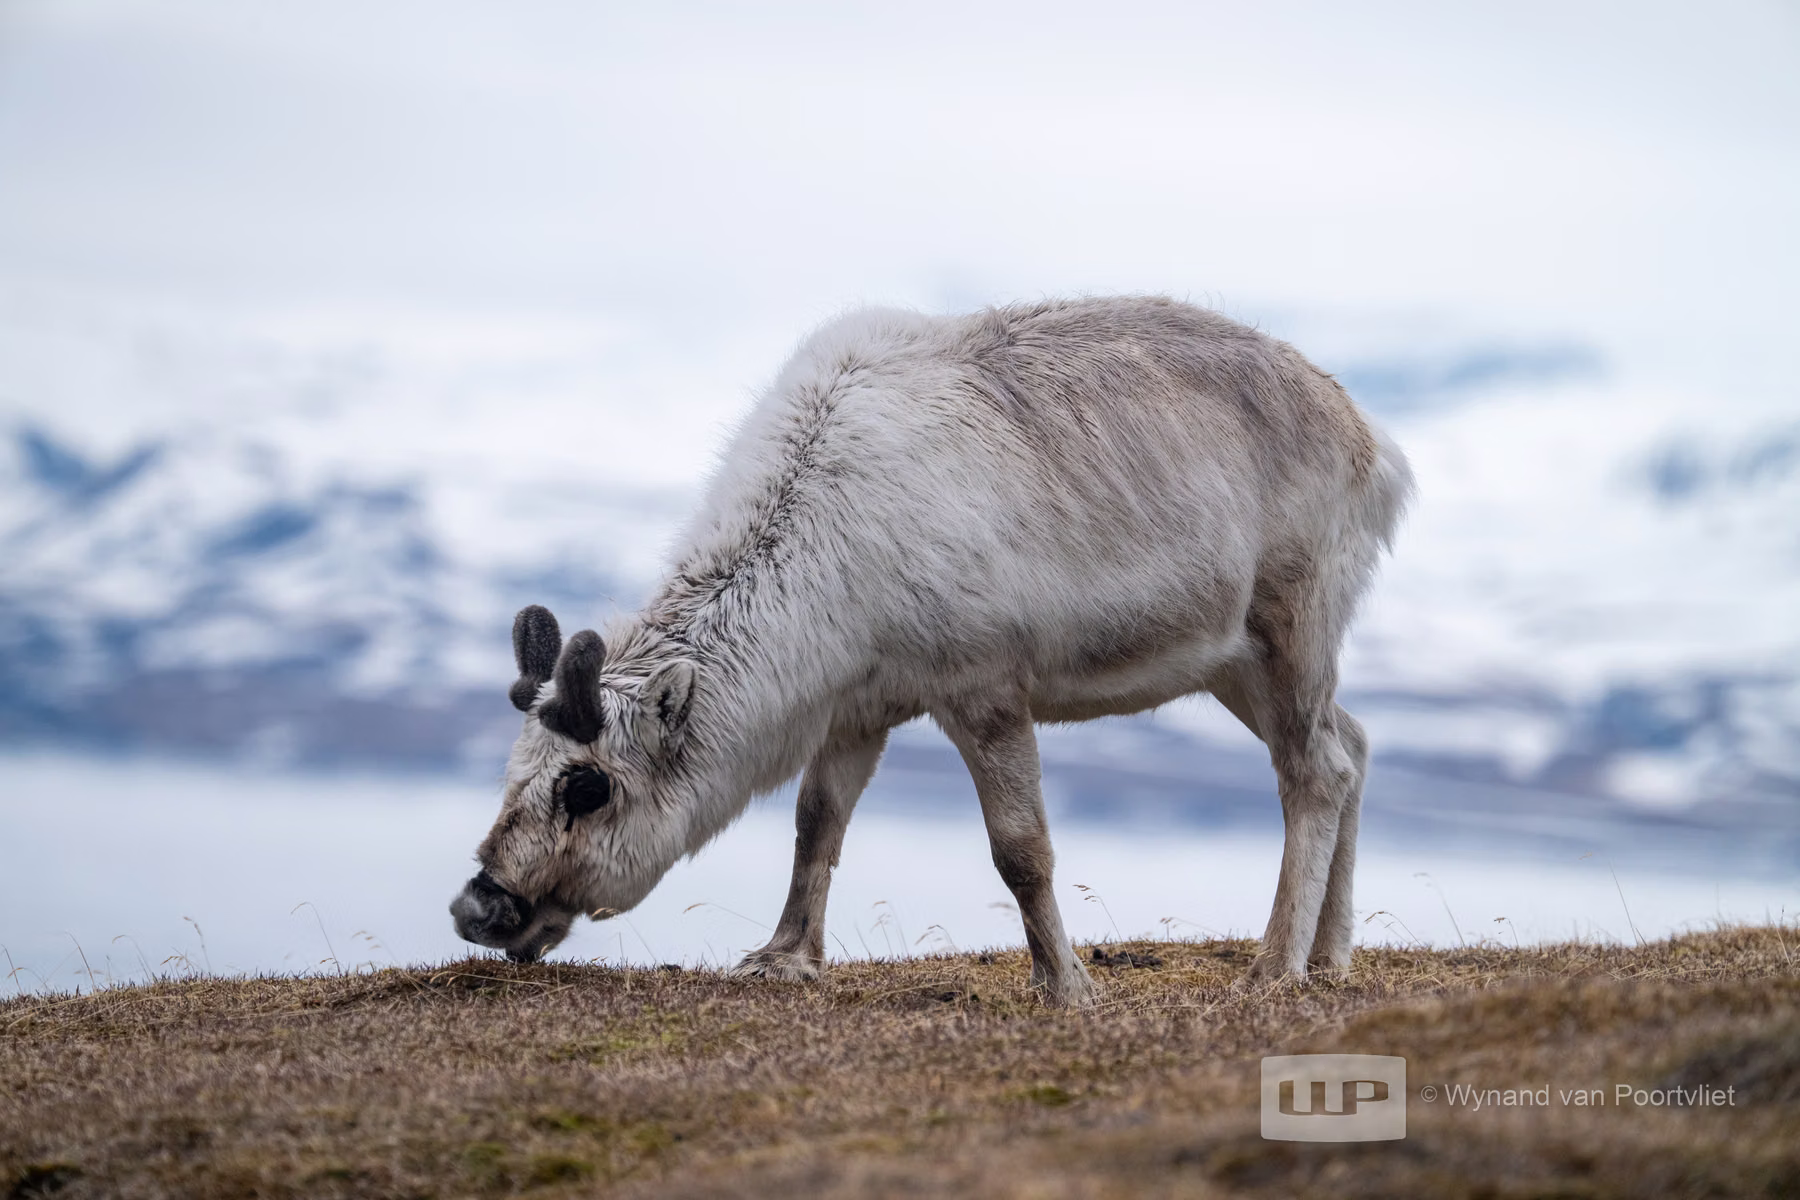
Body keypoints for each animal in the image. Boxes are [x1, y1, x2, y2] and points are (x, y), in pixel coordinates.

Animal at [451, 295, 1413, 1005]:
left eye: (587, 787)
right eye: (515, 766)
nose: (477, 905)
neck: (826, 547)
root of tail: (1376, 444)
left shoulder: (984, 688)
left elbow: (1020, 850)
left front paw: (1065, 985)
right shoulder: (859, 705)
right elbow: (816, 823)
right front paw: (785, 955)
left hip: (1292, 624)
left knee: (1315, 770)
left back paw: (1275, 966)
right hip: (1230, 662)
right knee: (1355, 745)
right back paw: (1331, 956)